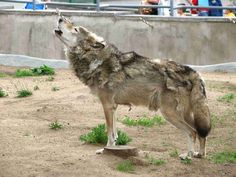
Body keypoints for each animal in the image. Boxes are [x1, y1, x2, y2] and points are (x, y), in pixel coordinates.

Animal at [54, 14, 211, 159]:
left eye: (75, 29)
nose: (60, 17)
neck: (95, 59)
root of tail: (193, 72)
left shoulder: (107, 105)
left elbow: (109, 132)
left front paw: (104, 150)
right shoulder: (113, 107)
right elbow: (115, 133)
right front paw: (112, 148)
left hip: (169, 113)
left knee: (192, 132)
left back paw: (188, 156)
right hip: (185, 114)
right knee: (201, 132)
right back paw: (199, 154)